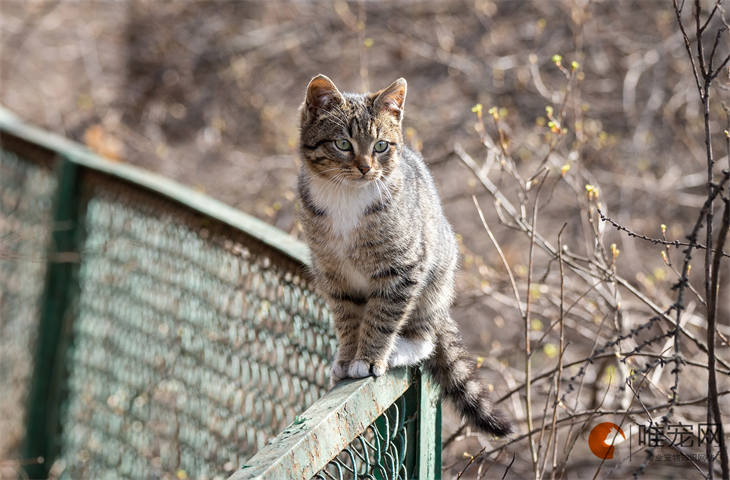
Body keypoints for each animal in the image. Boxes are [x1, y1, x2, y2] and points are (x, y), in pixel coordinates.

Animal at [292, 74, 510, 436]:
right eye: (343, 144)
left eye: (381, 146)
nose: (365, 168)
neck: (345, 196)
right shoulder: (333, 274)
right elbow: (347, 318)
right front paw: (347, 356)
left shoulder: (403, 268)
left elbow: (382, 316)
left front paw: (368, 359)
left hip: (434, 280)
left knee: (426, 337)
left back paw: (401, 348)